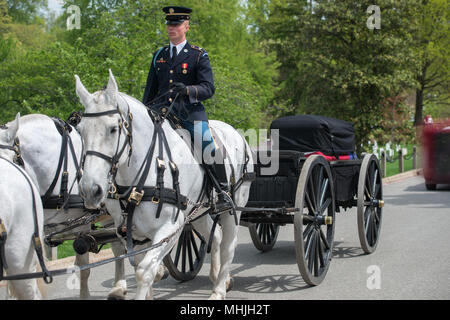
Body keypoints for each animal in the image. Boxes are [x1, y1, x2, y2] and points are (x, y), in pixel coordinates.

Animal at [77, 70, 253, 300]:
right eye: (80, 130)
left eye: (113, 129)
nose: (90, 190)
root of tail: (237, 134)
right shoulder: (131, 231)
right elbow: (140, 266)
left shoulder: (171, 229)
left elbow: (145, 271)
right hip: (198, 213)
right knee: (215, 237)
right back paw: (218, 278)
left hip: (232, 209)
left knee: (228, 245)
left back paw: (219, 290)